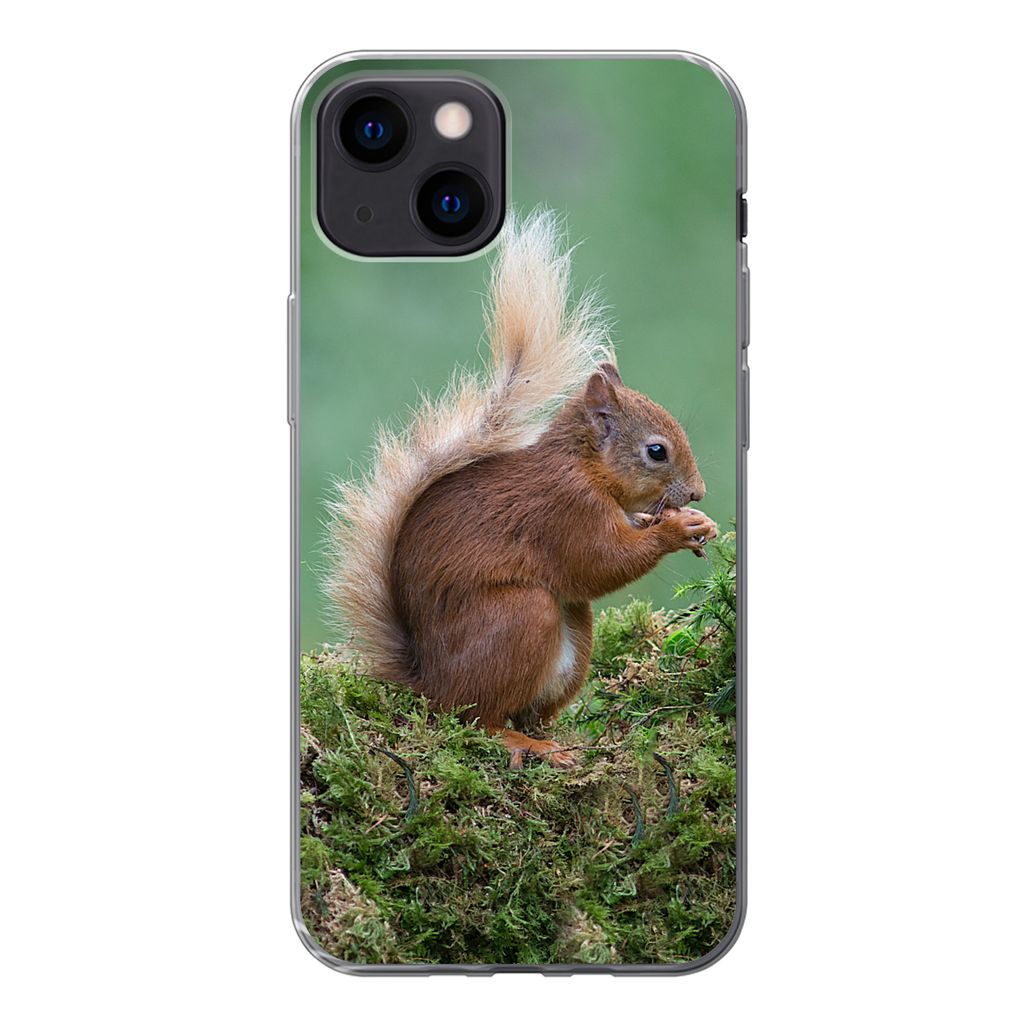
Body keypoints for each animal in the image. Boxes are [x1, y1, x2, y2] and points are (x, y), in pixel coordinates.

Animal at [325, 210, 716, 767]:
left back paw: (555, 739)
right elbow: (600, 562)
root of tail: (428, 685)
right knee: (478, 718)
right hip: (519, 617)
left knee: (529, 708)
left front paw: (685, 522)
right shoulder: (564, 508)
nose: (698, 493)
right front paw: (675, 530)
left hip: (573, 638)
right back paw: (524, 744)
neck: (584, 466)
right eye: (656, 451)